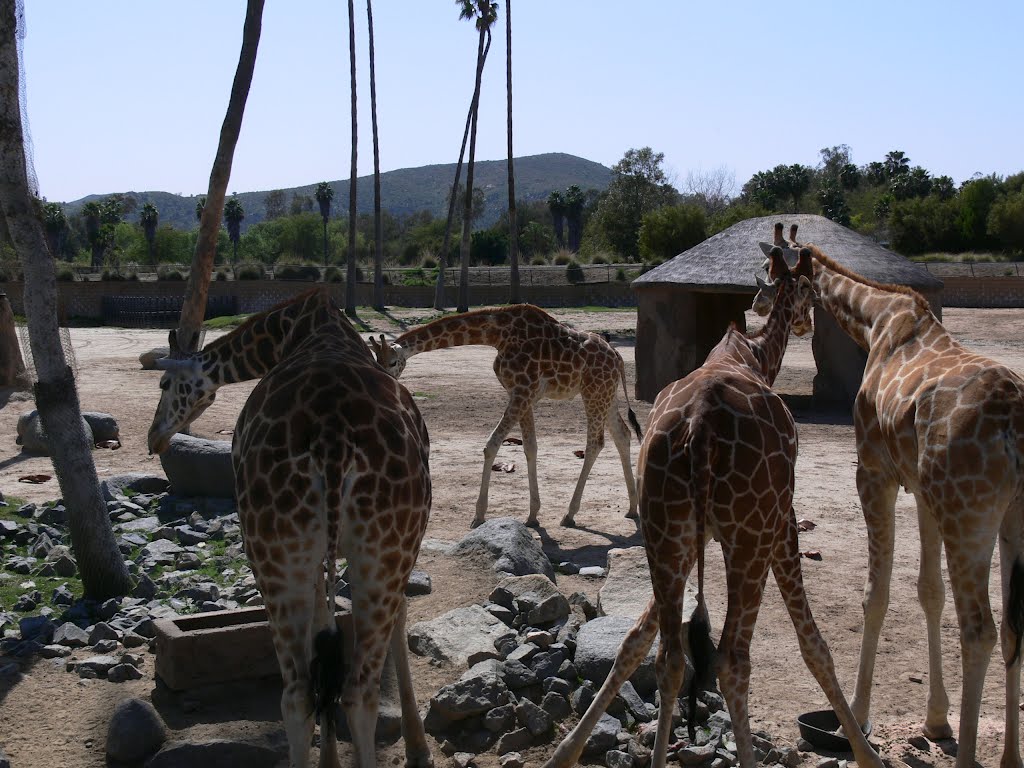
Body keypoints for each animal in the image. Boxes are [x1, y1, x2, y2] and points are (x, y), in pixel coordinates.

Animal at [146, 290, 430, 768]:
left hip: (281, 551)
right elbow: (354, 620)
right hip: (373, 548)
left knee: (300, 694)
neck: (291, 328)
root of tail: (333, 440)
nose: (154, 437)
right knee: (351, 692)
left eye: (166, 385)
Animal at [368, 305, 638, 528]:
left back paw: (570, 514)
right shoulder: (523, 394)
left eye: (392, 362)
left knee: (595, 443)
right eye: (376, 360)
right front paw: (532, 515)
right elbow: (530, 447)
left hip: (594, 391)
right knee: (623, 434)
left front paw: (479, 515)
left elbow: (492, 444)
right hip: (605, 393)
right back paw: (632, 509)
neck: (497, 335)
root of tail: (618, 358)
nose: (385, 384)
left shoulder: (522, 391)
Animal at [540, 249, 884, 768]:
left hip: (663, 529)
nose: (808, 323)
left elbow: (635, 641)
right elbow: (814, 646)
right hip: (749, 534)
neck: (753, 355)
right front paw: (864, 753)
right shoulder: (783, 520)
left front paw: (567, 751)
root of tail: (701, 426)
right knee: (732, 660)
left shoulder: (693, 537)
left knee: (671, 656)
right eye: (807, 291)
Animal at [749, 225, 1024, 768]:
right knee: (1012, 626)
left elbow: (875, 594)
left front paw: (852, 718)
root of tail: (1014, 422)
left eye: (770, 269)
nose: (757, 303)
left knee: (979, 628)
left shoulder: (875, 472)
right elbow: (928, 591)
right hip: (1009, 518)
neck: (876, 322)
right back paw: (1011, 758)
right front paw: (936, 720)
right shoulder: (921, 490)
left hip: (968, 514)